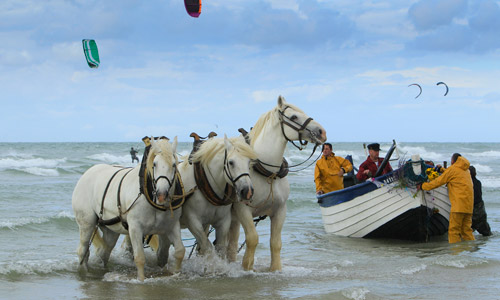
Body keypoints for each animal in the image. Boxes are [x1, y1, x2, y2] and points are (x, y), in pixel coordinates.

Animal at [72, 136, 184, 282]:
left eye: (174, 165)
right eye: (154, 164)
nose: (161, 195)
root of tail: (86, 174)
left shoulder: (171, 226)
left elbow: (180, 251)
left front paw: (177, 274)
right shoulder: (135, 228)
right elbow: (139, 258)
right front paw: (141, 280)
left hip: (110, 229)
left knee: (104, 252)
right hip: (87, 223)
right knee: (83, 250)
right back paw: (84, 272)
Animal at [228, 96, 328, 272]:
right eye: (294, 116)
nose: (322, 132)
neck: (268, 173)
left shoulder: (280, 211)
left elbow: (275, 244)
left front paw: (275, 269)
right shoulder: (243, 209)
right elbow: (252, 239)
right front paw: (247, 267)